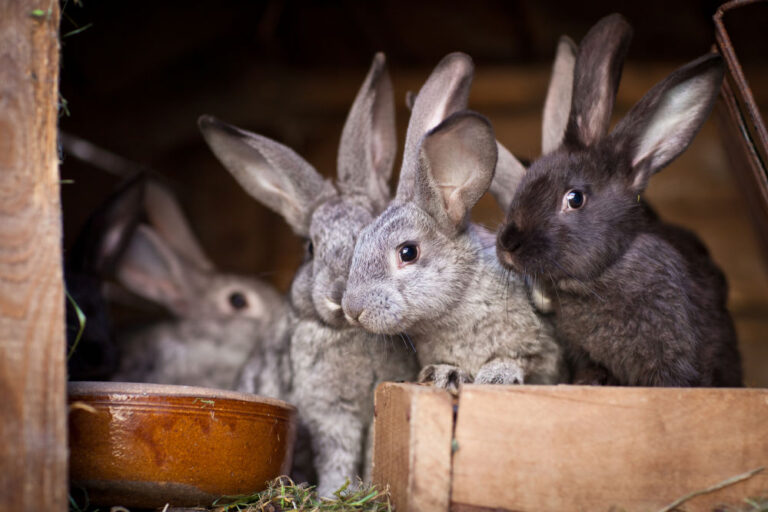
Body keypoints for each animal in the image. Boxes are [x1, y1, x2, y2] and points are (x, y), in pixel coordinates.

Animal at [198, 53, 419, 496]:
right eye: (310, 249)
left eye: (370, 232)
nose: (339, 297)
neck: (351, 333)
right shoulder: (329, 413)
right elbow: (337, 454)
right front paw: (337, 493)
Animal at [341, 52, 565, 391]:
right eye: (361, 238)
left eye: (408, 252)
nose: (353, 310)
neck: (458, 304)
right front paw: (443, 374)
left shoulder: (541, 350)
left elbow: (520, 359)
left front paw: (496, 375)